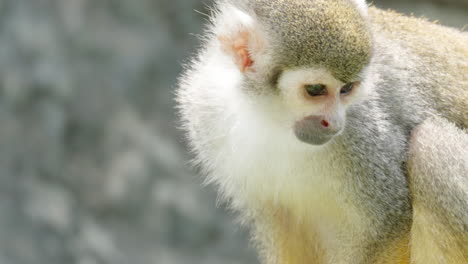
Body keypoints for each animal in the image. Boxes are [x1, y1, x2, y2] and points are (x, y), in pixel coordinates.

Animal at [176, 1, 468, 262]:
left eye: (347, 89)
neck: (270, 113)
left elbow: (387, 225)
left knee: (431, 147)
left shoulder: (361, 131)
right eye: (315, 90)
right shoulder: (205, 110)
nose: (335, 123)